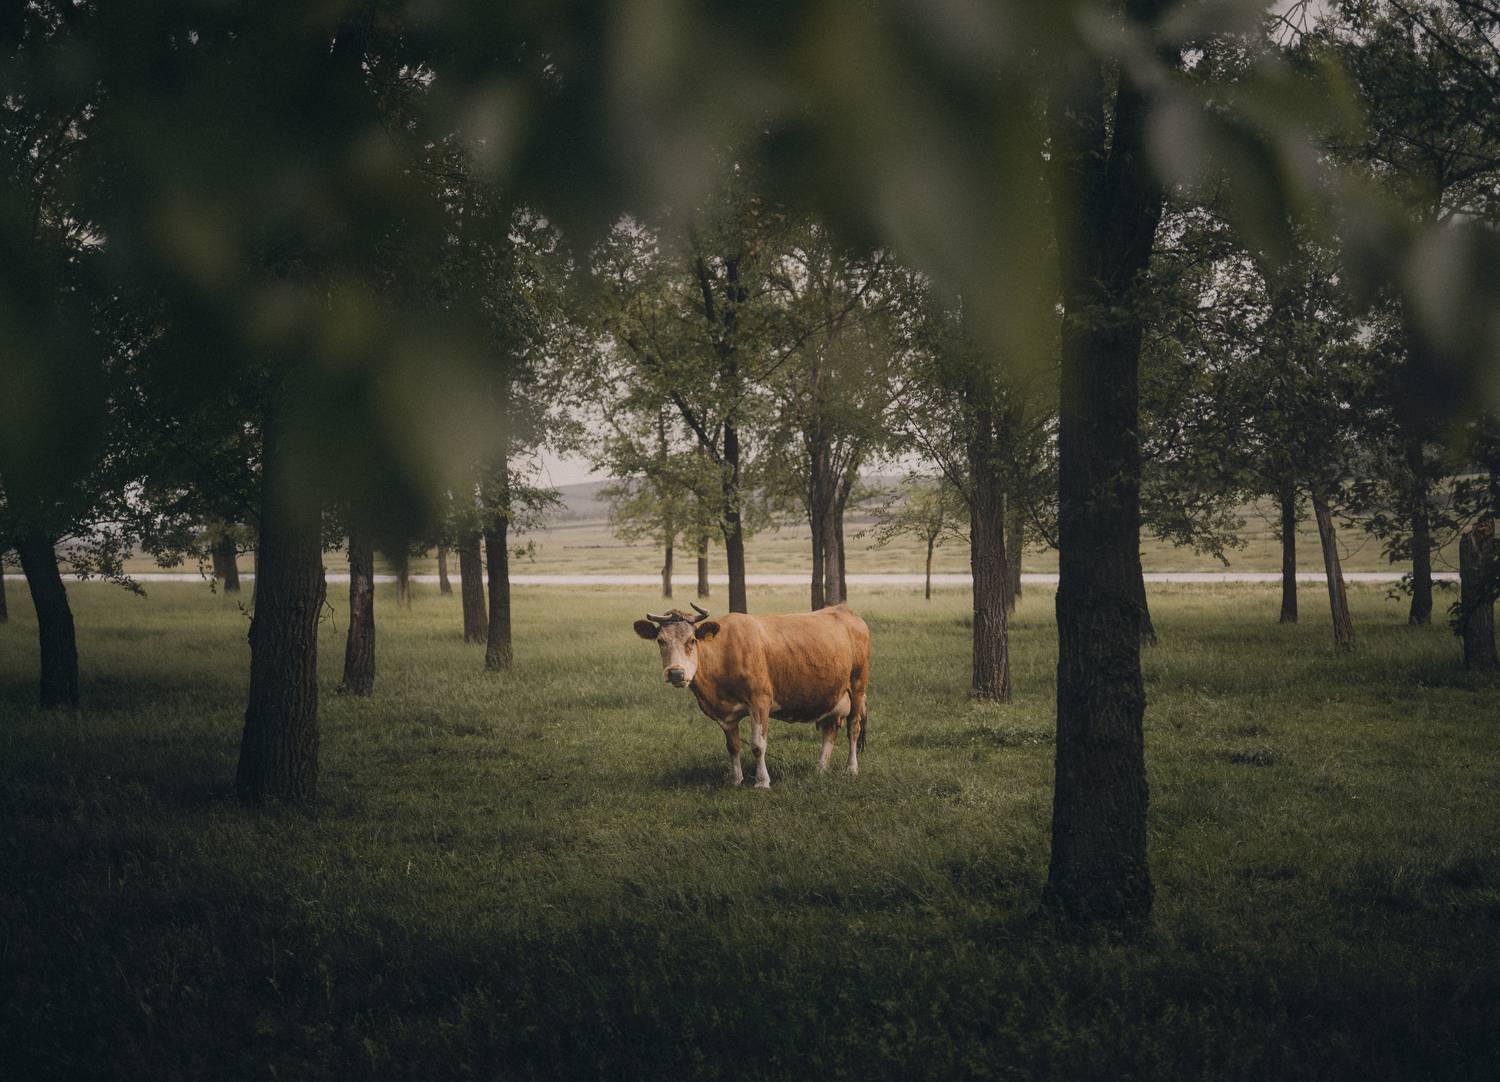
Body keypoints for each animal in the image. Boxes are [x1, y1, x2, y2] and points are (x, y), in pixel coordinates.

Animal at [633, 601, 869, 788]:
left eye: (692, 640)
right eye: (660, 640)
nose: (675, 673)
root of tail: (844, 610)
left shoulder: (760, 701)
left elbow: (757, 744)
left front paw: (762, 781)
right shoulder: (726, 714)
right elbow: (733, 746)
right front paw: (735, 779)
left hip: (858, 686)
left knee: (853, 728)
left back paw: (852, 769)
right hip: (831, 695)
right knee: (829, 731)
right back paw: (820, 769)